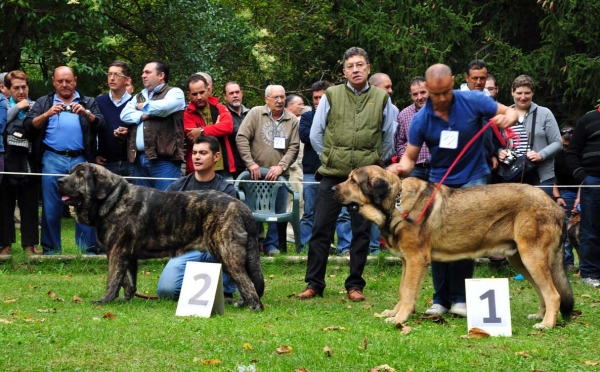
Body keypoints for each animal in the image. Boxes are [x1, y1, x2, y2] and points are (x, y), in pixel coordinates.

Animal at [59, 164, 264, 310]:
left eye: (80, 174)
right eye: (71, 173)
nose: (60, 181)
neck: (114, 200)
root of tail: (242, 207)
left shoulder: (117, 253)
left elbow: (113, 280)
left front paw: (105, 300)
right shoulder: (128, 256)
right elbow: (128, 282)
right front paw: (126, 301)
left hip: (226, 254)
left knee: (246, 283)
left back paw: (254, 307)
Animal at [336, 166, 576, 328]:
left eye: (353, 181)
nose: (331, 188)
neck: (396, 202)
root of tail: (555, 206)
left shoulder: (416, 260)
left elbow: (407, 292)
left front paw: (400, 318)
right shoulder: (407, 261)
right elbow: (403, 290)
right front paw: (394, 313)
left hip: (532, 257)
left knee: (553, 294)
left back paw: (546, 324)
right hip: (521, 261)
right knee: (543, 291)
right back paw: (541, 316)